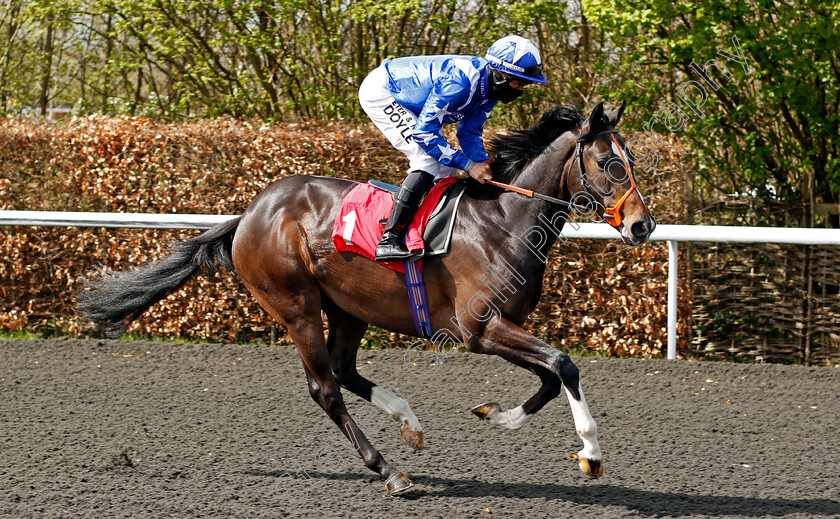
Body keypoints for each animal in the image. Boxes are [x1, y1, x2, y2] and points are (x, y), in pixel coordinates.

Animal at [77, 101, 656, 496]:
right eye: (608, 163)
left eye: (630, 159)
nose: (642, 225)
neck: (504, 222)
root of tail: (248, 214)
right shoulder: (479, 329)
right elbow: (564, 364)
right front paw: (591, 453)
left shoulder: (498, 328)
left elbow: (550, 376)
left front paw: (498, 417)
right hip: (297, 307)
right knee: (325, 387)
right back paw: (390, 471)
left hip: (349, 307)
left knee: (345, 370)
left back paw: (409, 425)